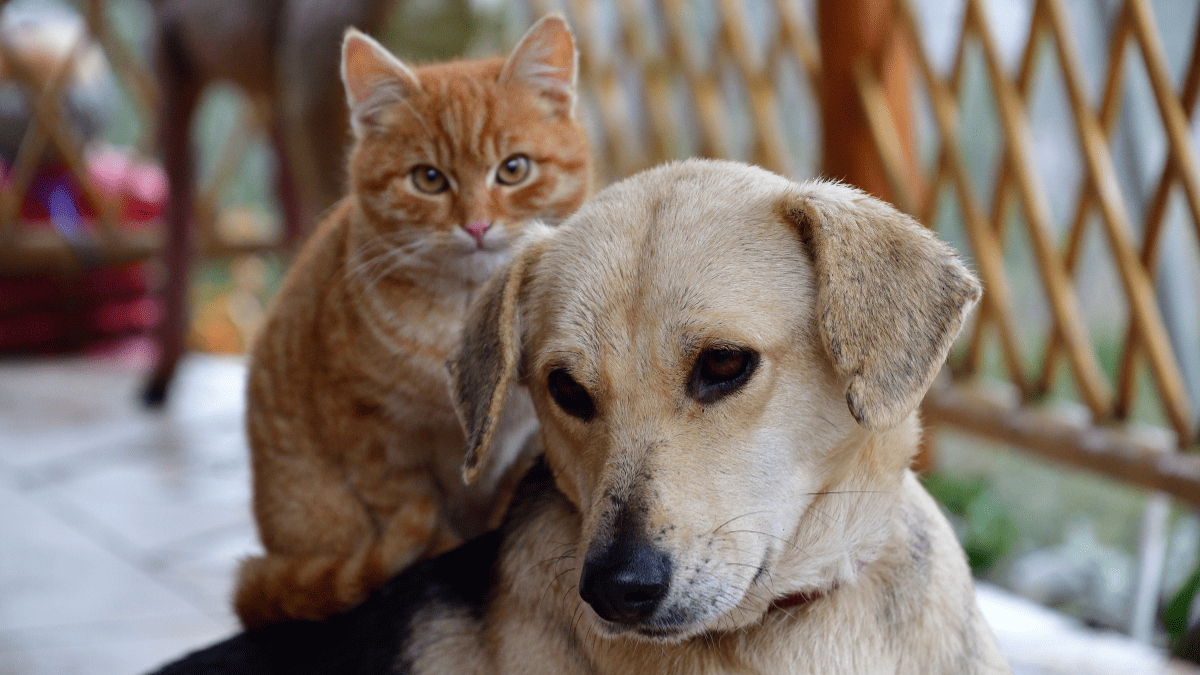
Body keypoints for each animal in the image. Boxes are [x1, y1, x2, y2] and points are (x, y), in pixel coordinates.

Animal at [233, 14, 589, 629]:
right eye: (428, 179)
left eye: (513, 169)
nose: (477, 225)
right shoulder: (374, 441)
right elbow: (422, 530)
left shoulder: (526, 444)